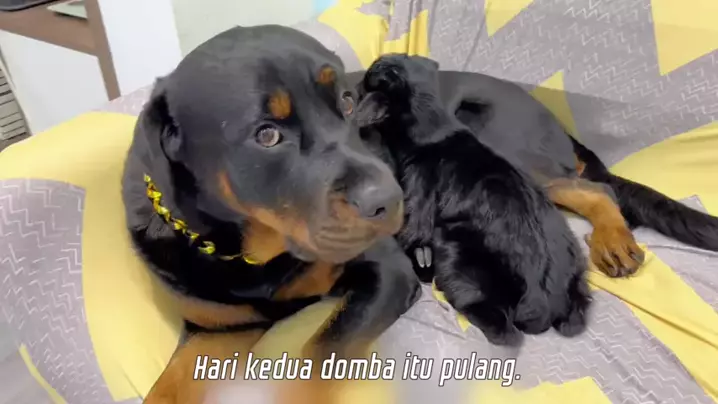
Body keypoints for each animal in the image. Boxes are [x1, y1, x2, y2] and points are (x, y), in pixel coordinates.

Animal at [121, 26, 420, 403]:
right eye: (266, 135)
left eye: (348, 102)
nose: (388, 199)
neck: (251, 256)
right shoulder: (218, 326)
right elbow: (168, 385)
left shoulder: (390, 272)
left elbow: (323, 353)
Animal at [354, 54, 591, 346]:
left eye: (369, 79)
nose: (356, 84)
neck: (437, 126)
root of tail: (542, 301)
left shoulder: (417, 195)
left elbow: (409, 230)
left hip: (457, 256)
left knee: (504, 331)